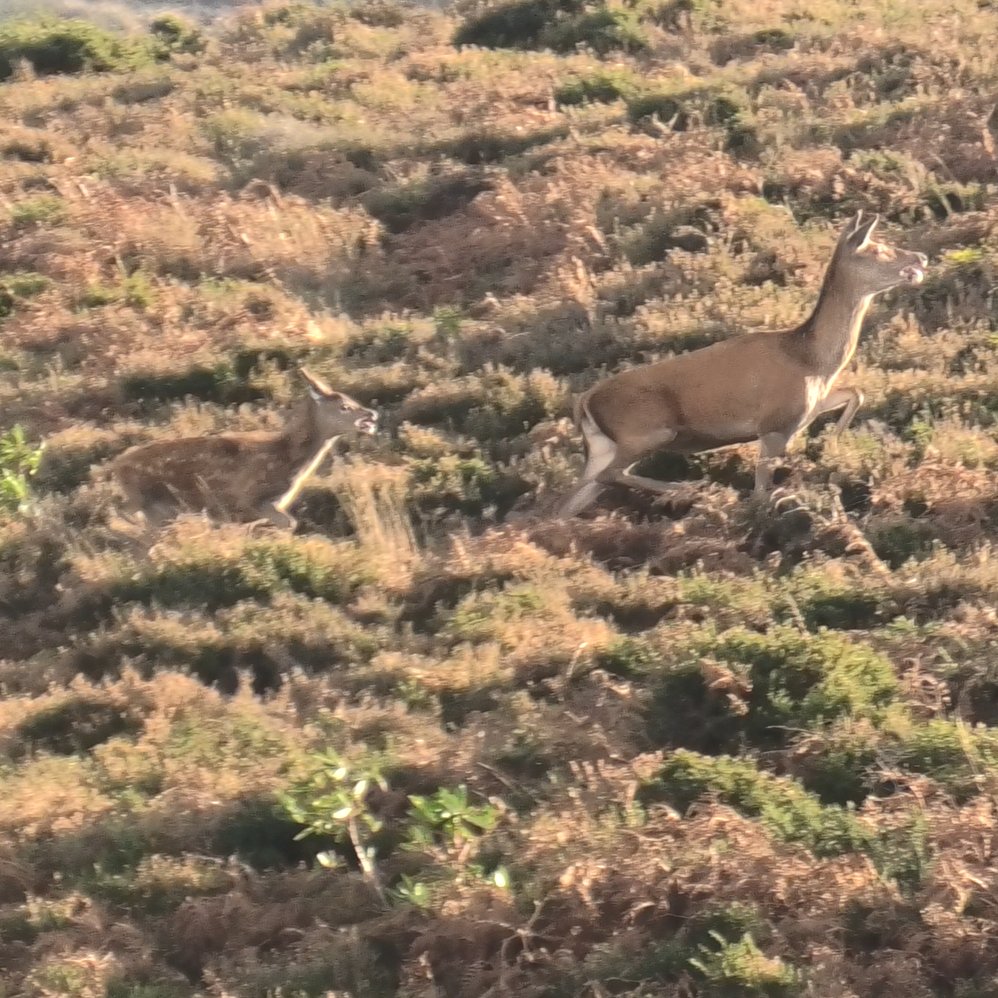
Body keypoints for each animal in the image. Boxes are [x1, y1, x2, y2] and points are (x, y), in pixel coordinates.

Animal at [108, 367, 378, 533]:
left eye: (351, 400)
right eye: (344, 406)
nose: (372, 414)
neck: (287, 459)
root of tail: (117, 465)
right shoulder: (248, 498)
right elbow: (289, 523)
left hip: (160, 508)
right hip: (146, 499)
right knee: (122, 514)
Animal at [558, 211, 928, 517]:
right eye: (877, 248)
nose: (921, 256)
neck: (812, 360)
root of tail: (584, 402)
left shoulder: (803, 410)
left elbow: (855, 393)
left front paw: (831, 445)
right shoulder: (775, 422)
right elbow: (761, 490)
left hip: (603, 446)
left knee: (569, 499)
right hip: (646, 430)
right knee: (610, 475)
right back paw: (688, 488)